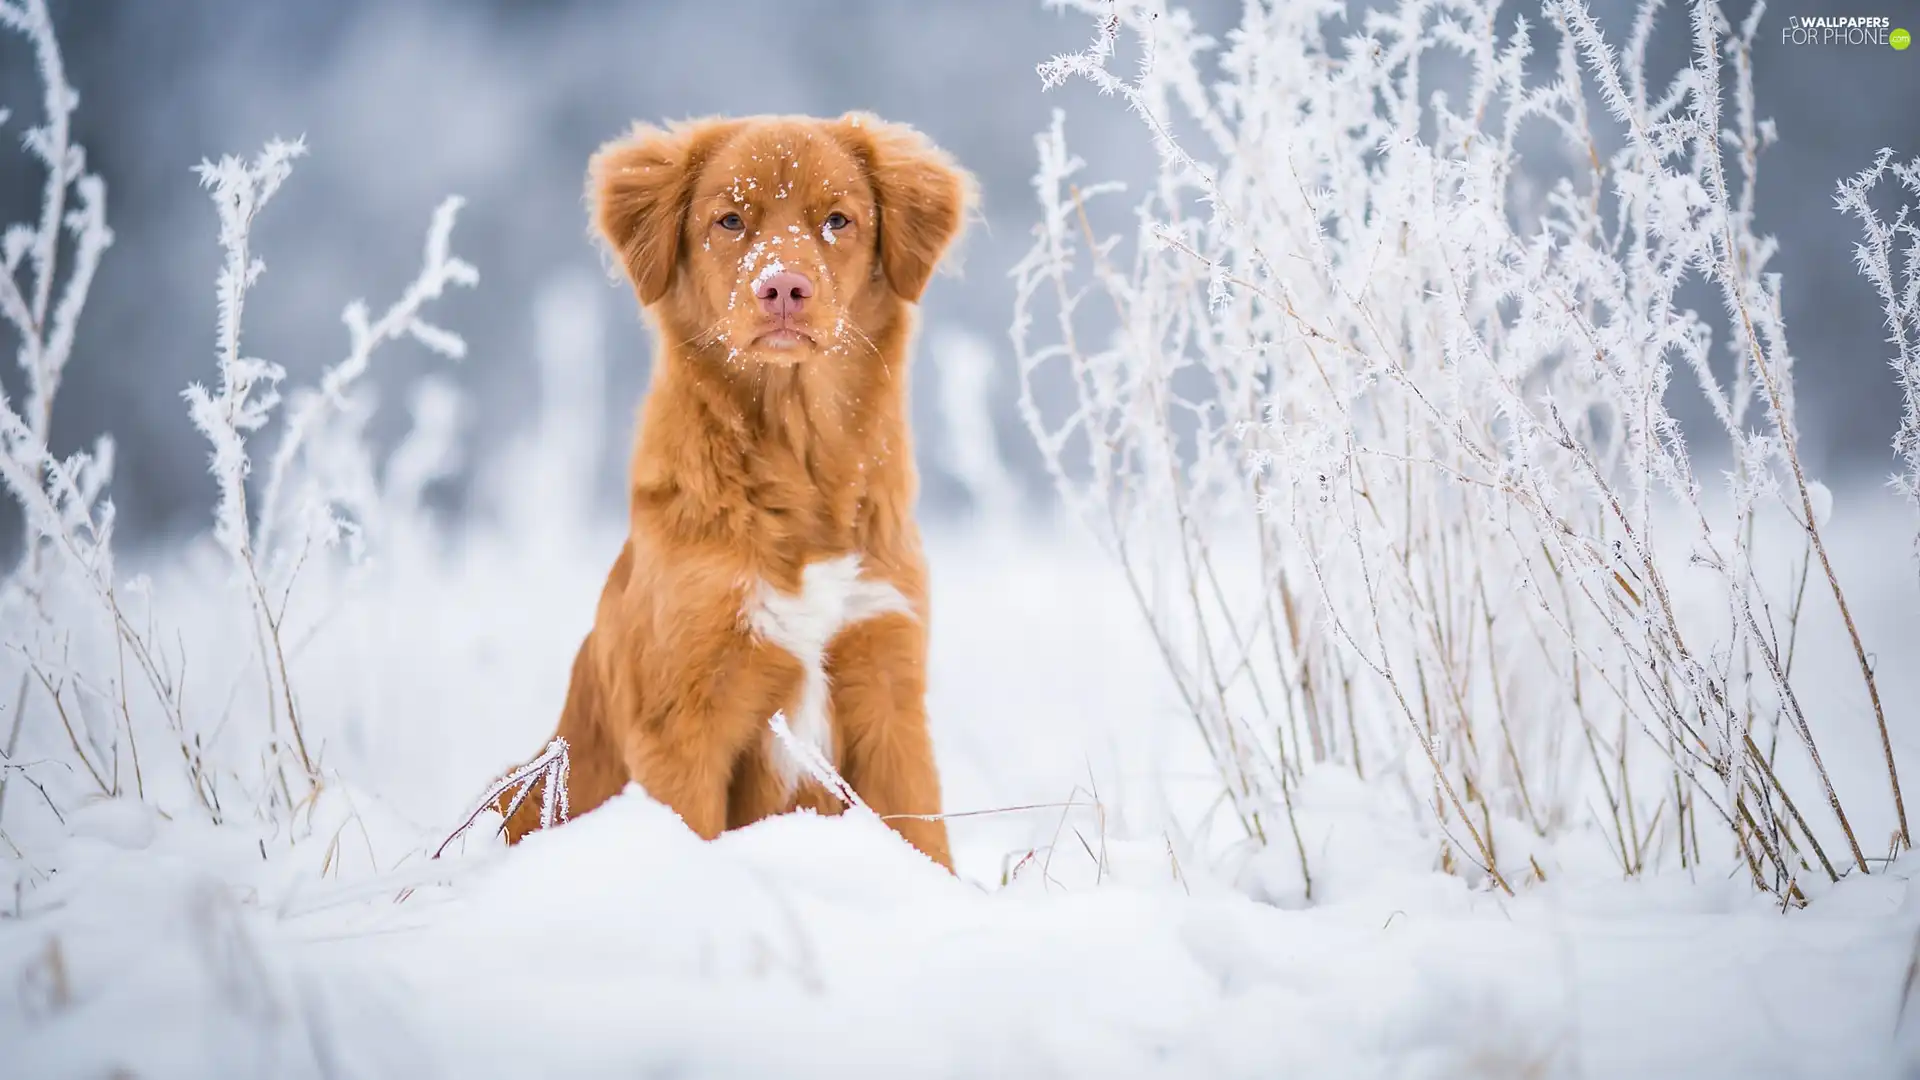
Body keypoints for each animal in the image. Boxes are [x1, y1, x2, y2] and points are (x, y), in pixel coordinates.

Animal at [495, 111, 975, 864]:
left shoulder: (889, 689)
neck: (797, 461)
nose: (782, 287)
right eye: (729, 220)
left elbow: (923, 841)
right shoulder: (683, 720)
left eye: (838, 219)